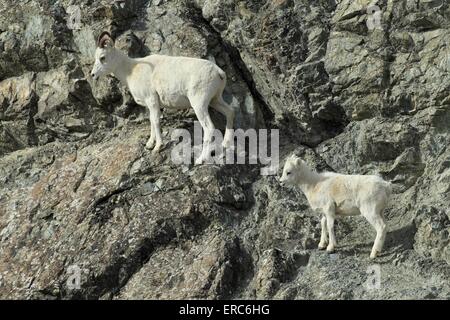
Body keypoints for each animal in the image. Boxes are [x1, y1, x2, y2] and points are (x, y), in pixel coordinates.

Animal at [89, 31, 234, 164]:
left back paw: (200, 159)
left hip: (199, 104)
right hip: (215, 100)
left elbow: (156, 121)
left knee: (209, 128)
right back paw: (225, 144)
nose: (93, 74)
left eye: (102, 57)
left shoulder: (152, 100)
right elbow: (151, 121)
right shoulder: (150, 105)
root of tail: (219, 72)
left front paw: (157, 147)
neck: (131, 70)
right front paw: (149, 144)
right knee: (230, 112)